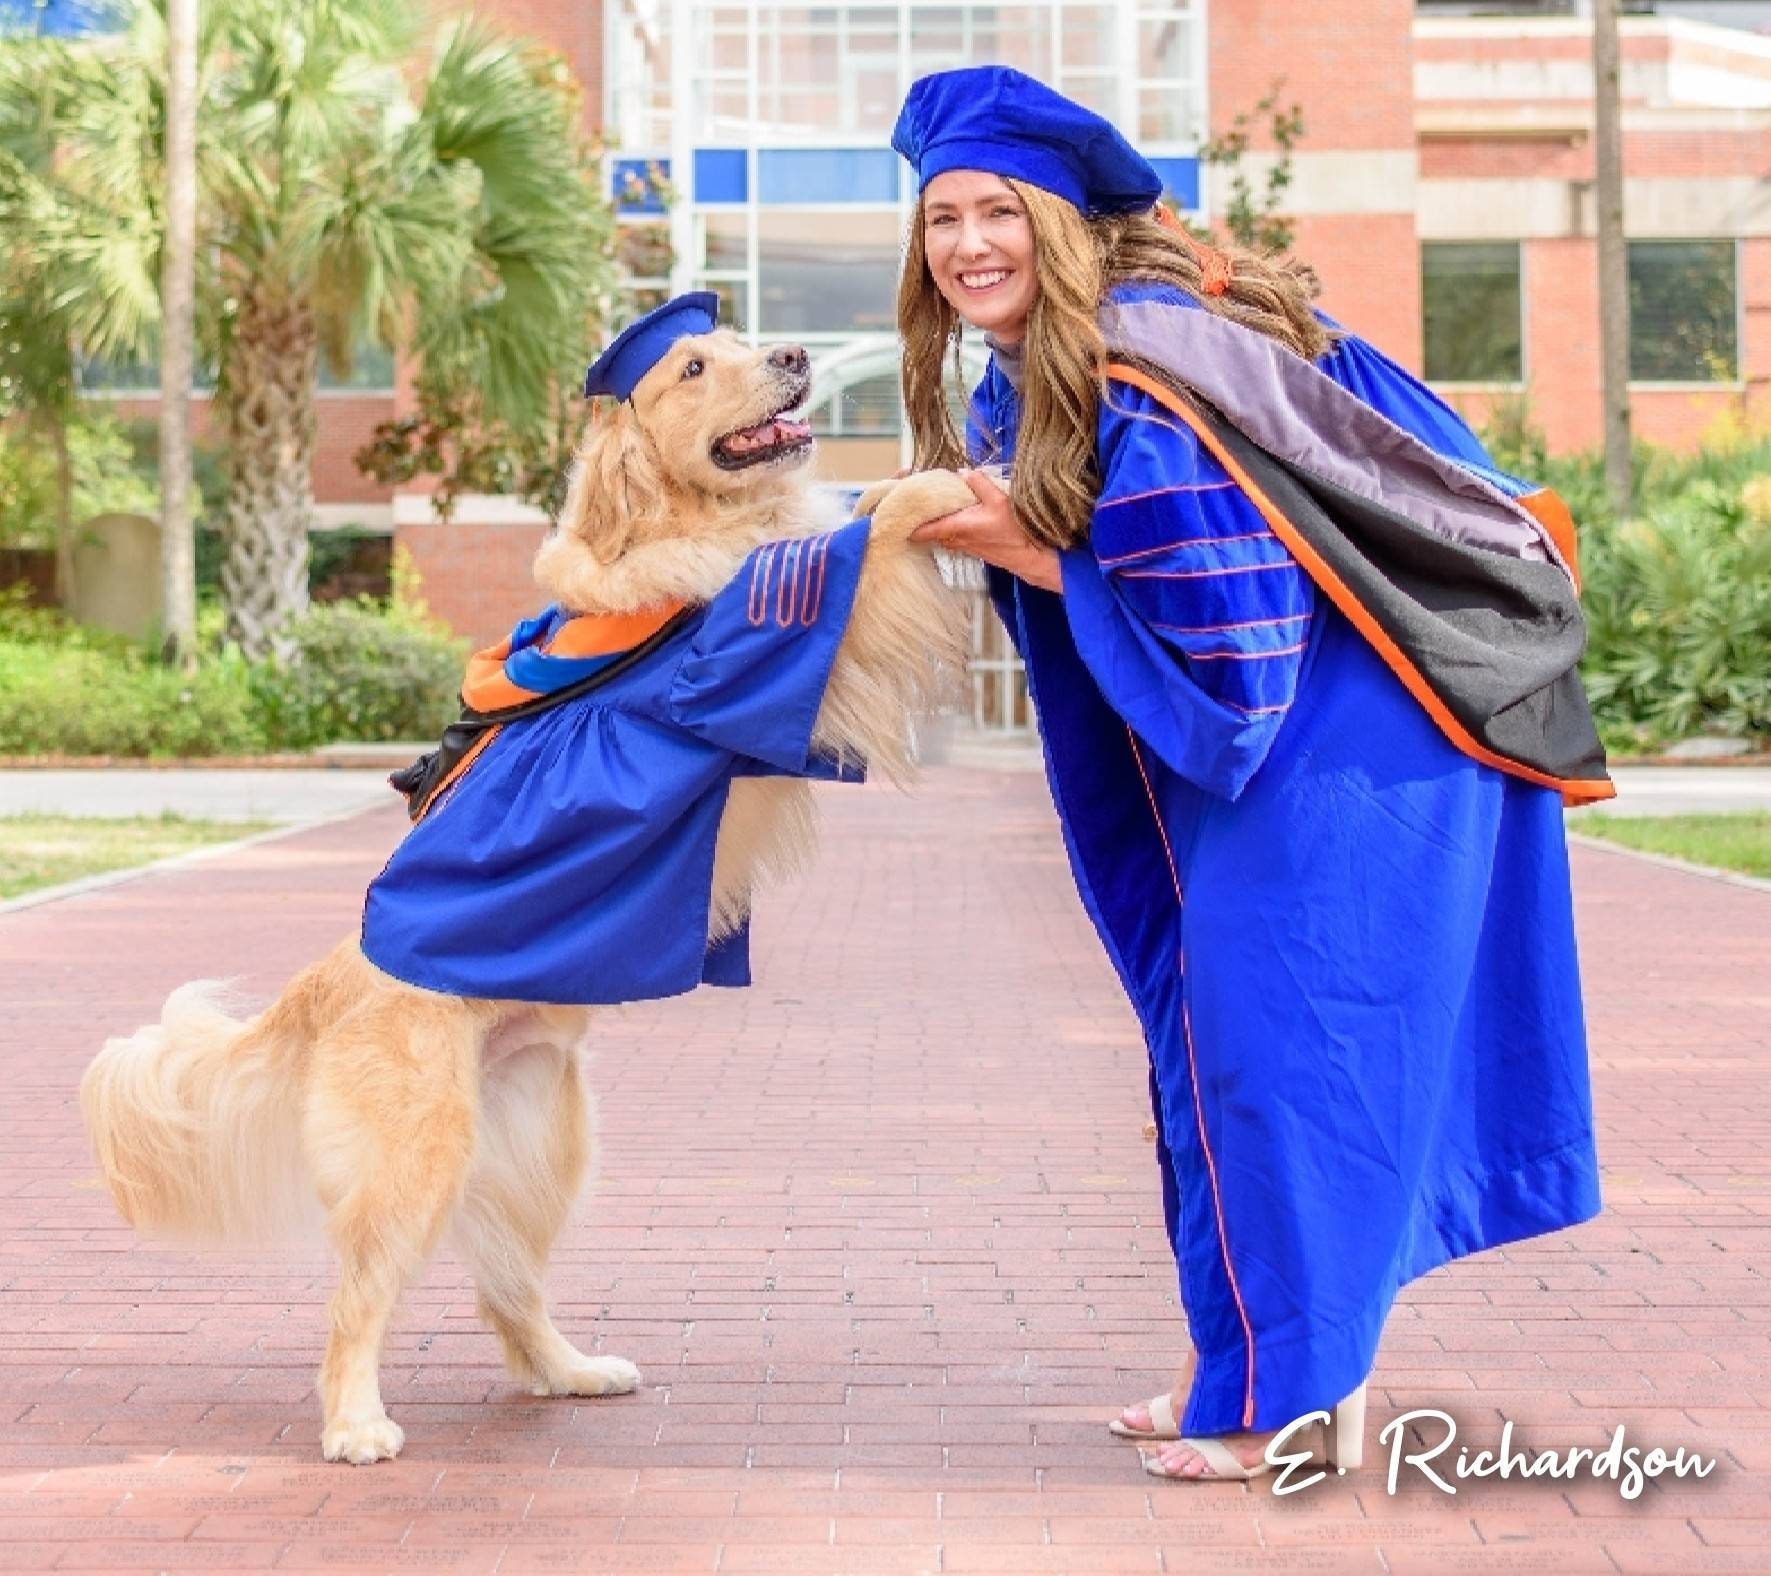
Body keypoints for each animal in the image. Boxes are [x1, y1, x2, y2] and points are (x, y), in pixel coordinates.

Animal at [79, 329, 970, 1459]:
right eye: (693, 368)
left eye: (734, 342)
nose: (794, 351)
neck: (693, 527)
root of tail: (326, 981)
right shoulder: (758, 644)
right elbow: (855, 542)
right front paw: (940, 485)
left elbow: (847, 517)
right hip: (417, 1154)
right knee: (355, 1299)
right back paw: (355, 1423)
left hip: (540, 1140)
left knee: (505, 1287)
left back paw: (568, 1368)